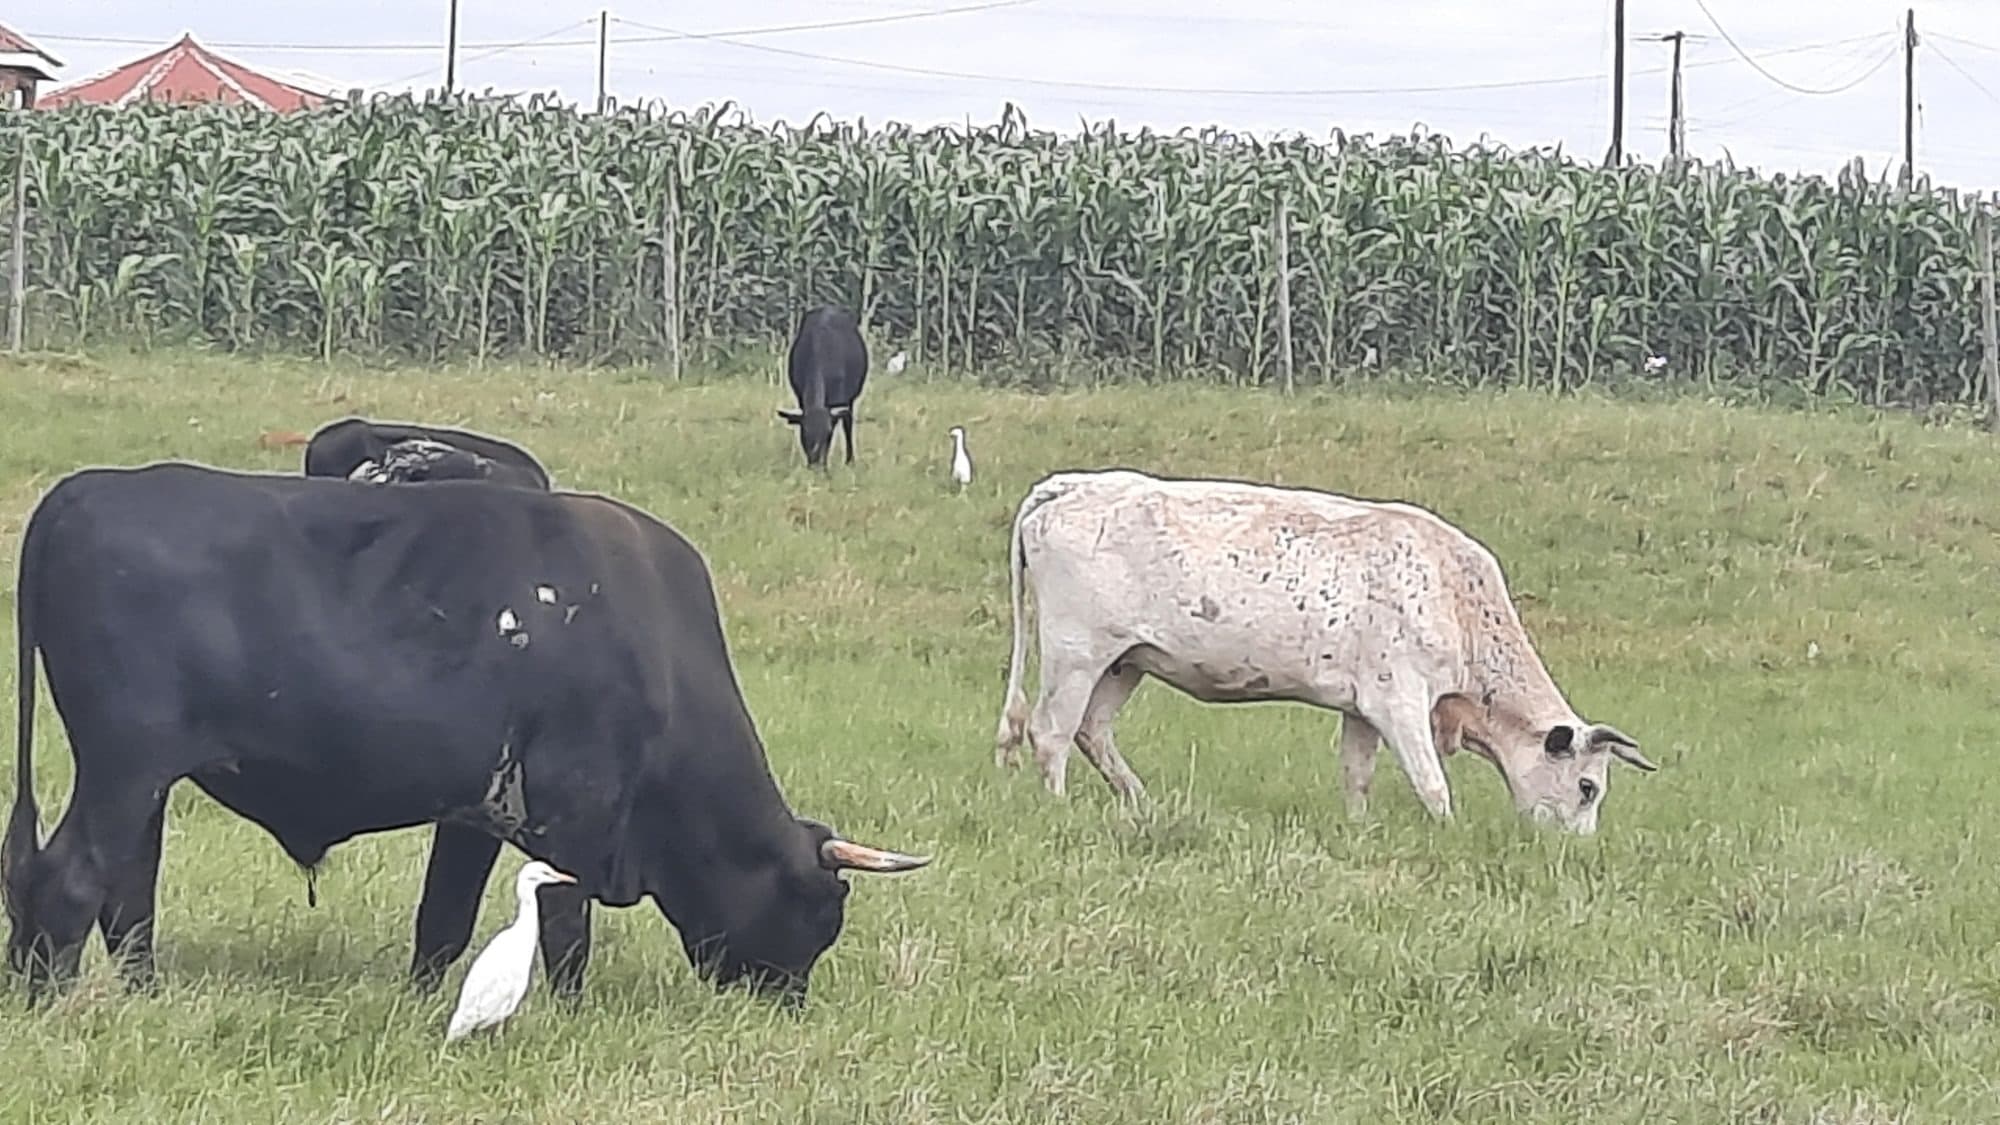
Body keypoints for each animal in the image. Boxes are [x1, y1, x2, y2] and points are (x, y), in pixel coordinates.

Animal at [2, 462, 930, 1005]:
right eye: (821, 912)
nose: (785, 1004)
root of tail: (79, 491)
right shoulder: (576, 816)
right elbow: (565, 928)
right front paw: (566, 1013)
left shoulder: (474, 816)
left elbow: (441, 920)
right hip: (124, 768)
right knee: (71, 880)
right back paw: (50, 1003)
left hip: (146, 782)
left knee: (124, 893)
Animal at [775, 305, 868, 470]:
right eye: (804, 433)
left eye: (828, 433)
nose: (815, 464)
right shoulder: (801, 396)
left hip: (850, 400)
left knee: (848, 423)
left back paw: (850, 460)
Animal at [991, 469, 1657, 835]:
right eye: (1587, 788)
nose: (1575, 847)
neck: (1452, 594)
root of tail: (1073, 484)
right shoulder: (1399, 702)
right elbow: (1433, 785)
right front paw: (1449, 833)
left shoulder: (1362, 708)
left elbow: (1356, 776)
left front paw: (1358, 830)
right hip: (1077, 651)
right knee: (1051, 731)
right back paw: (1059, 804)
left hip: (1125, 661)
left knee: (1092, 731)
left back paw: (1141, 803)